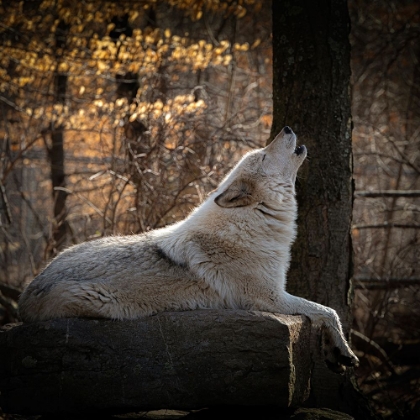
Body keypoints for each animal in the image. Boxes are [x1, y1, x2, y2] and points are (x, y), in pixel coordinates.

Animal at [19, 126, 360, 372]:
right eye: (263, 156)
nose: (287, 127)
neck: (251, 223)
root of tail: (26, 293)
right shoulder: (270, 297)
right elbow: (327, 310)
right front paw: (345, 352)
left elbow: (325, 310)